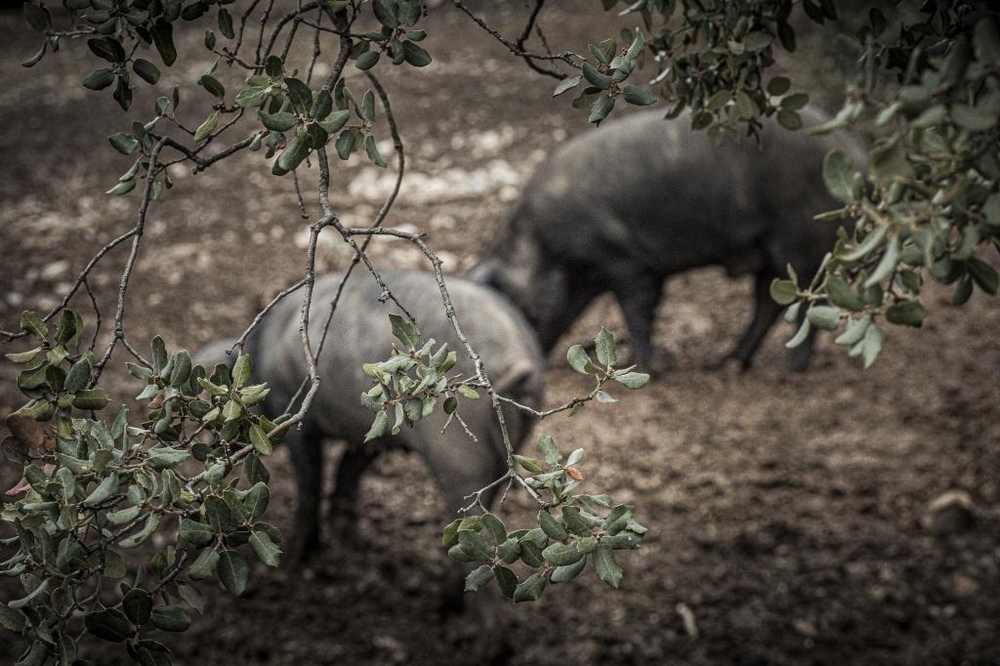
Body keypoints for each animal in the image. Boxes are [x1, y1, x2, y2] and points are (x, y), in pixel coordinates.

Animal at [198, 268, 544, 556]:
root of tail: (518, 358)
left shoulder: (294, 415)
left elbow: (310, 480)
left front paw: (297, 556)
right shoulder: (377, 434)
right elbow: (349, 467)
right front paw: (348, 541)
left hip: (462, 461)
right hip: (501, 457)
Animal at [470, 106, 868, 370]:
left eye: (516, 305)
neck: (545, 247)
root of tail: (856, 153)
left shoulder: (625, 262)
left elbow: (637, 313)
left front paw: (642, 367)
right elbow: (649, 310)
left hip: (802, 241)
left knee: (805, 304)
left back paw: (789, 368)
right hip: (769, 250)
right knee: (766, 304)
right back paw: (726, 364)